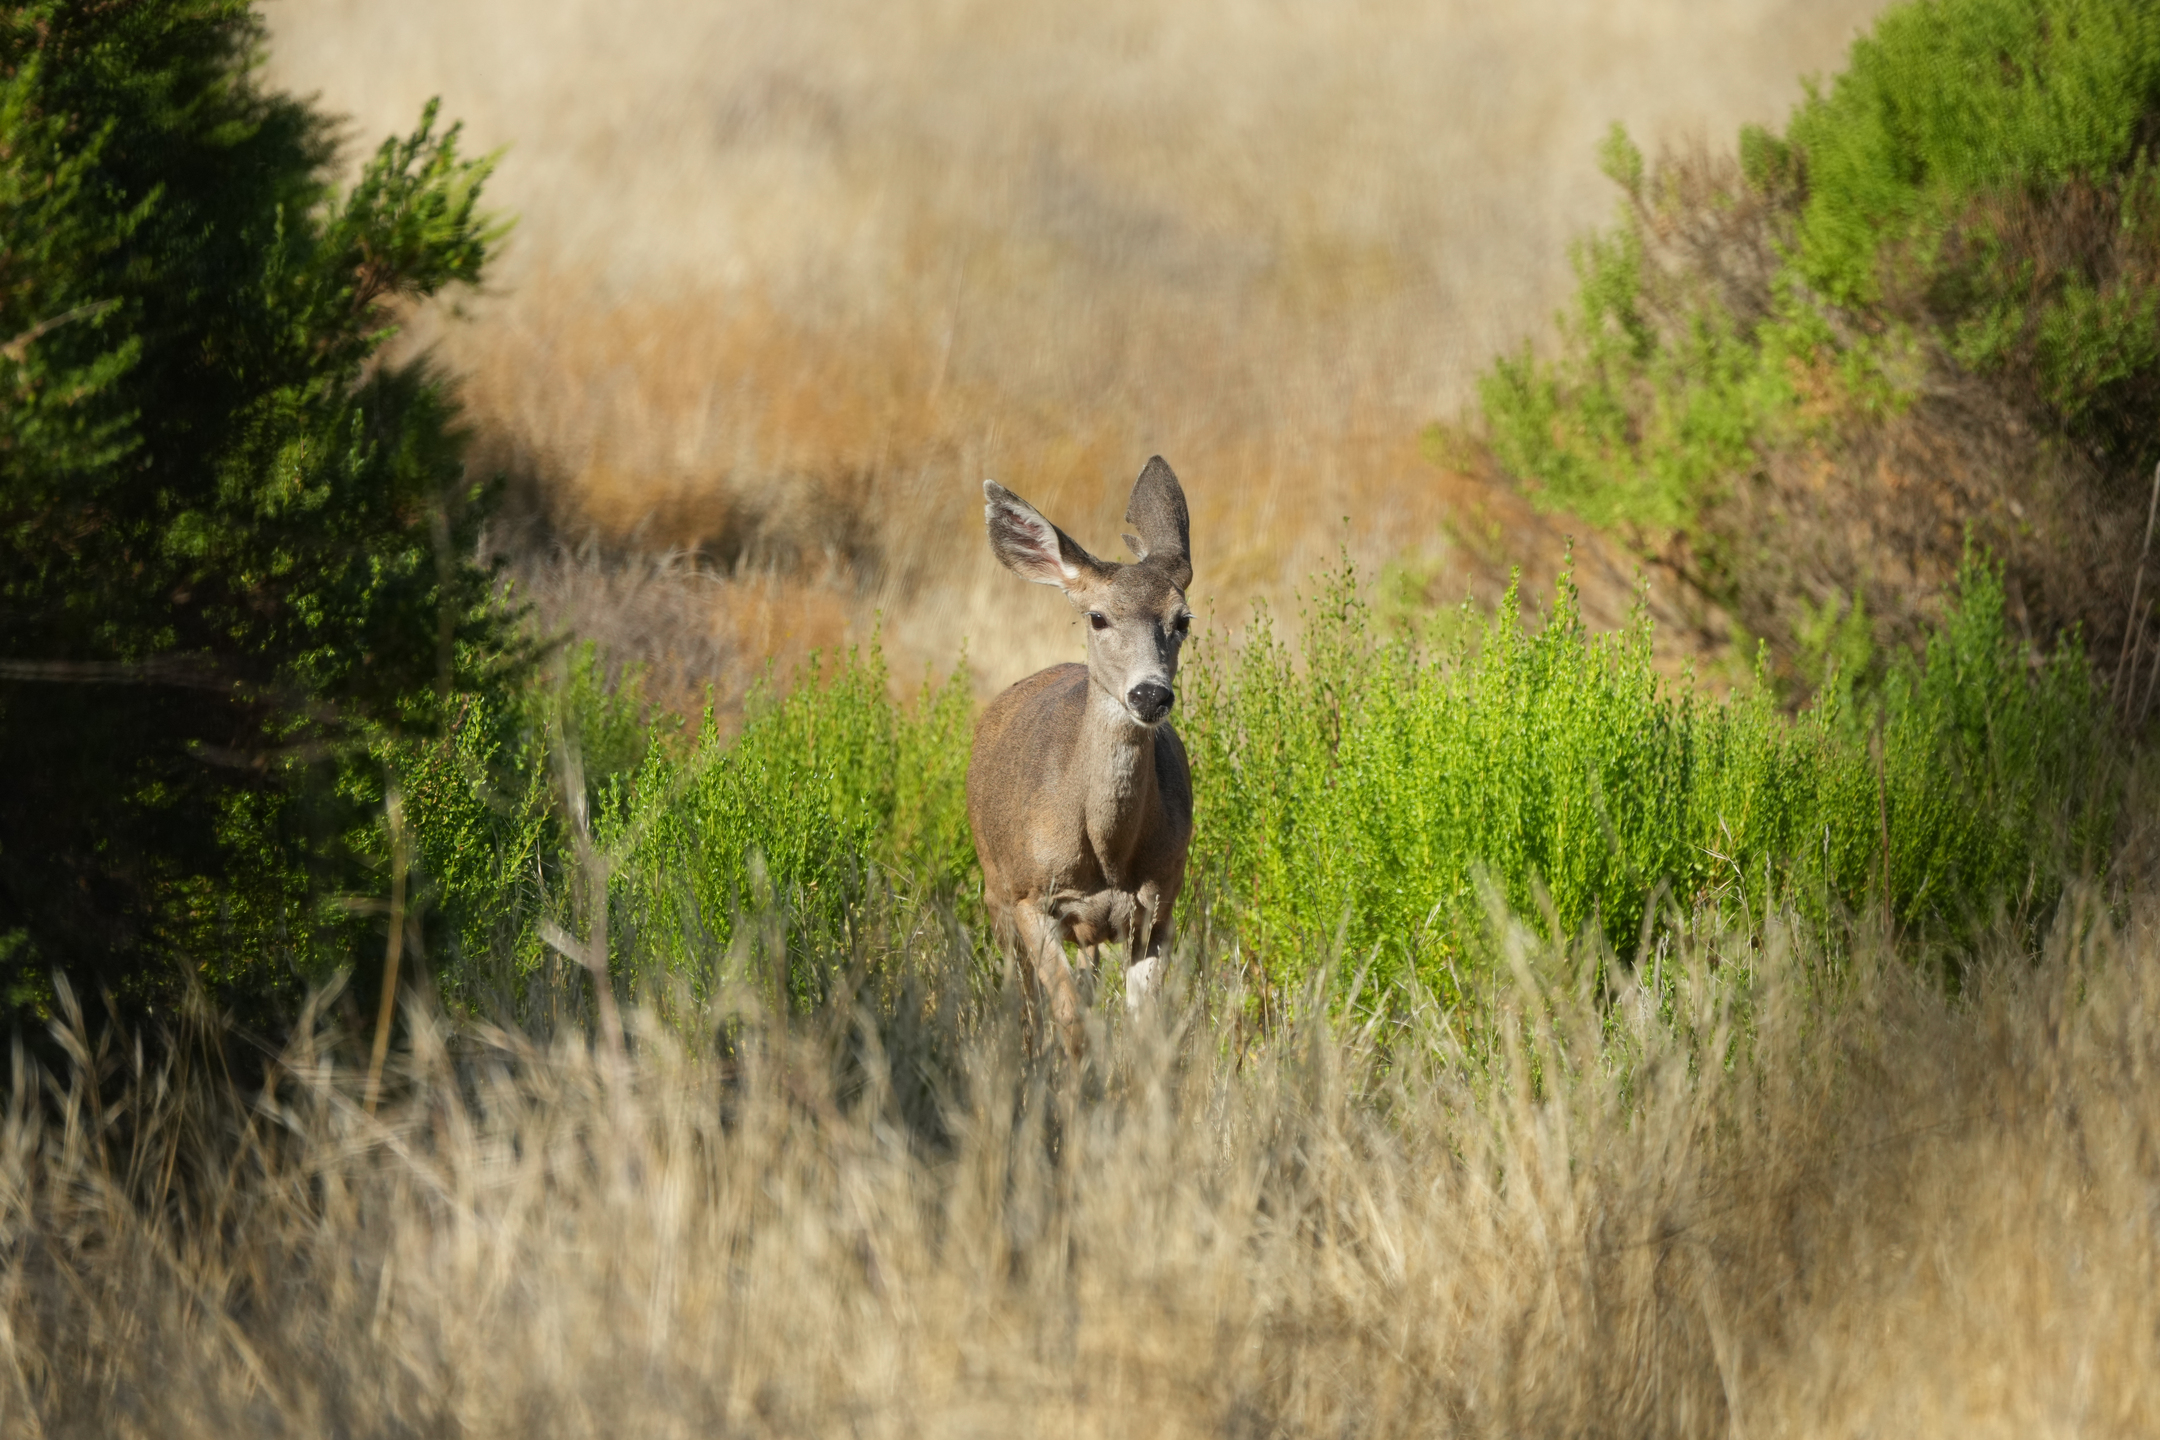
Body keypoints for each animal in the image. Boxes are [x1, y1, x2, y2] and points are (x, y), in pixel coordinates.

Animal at [967, 456, 1196, 1060]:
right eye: (1097, 617)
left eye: (1182, 620)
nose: (1150, 695)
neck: (1108, 854)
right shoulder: (1031, 898)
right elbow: (1068, 1022)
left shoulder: (1159, 904)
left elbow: (1144, 1032)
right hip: (994, 888)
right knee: (1022, 1000)